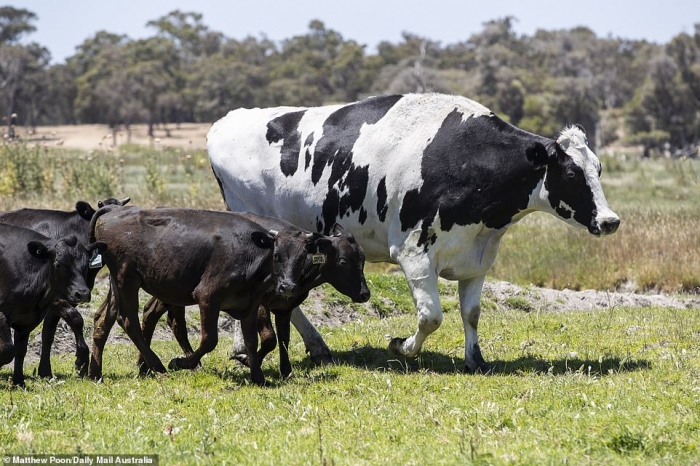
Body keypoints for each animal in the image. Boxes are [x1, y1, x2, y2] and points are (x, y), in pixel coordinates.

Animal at [206, 93, 616, 374]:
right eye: (571, 173)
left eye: (598, 167)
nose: (611, 221)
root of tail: (226, 120)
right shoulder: (413, 253)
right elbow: (431, 316)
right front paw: (400, 347)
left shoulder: (477, 259)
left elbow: (472, 313)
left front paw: (475, 359)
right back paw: (247, 348)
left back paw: (309, 347)